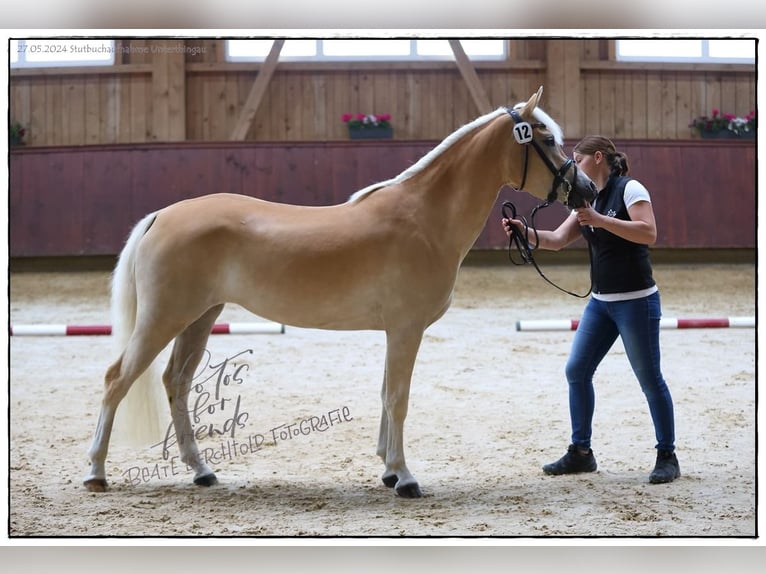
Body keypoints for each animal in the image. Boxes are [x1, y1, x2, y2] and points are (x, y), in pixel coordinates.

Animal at [85, 85, 600, 500]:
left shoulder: (396, 331)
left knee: (176, 382)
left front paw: (388, 471)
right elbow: (398, 397)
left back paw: (202, 471)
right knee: (116, 379)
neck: (424, 218)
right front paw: (405, 478)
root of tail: (162, 215)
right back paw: (96, 473)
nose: (588, 191)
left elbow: (386, 393)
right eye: (547, 140)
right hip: (164, 318)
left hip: (200, 317)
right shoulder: (406, 329)